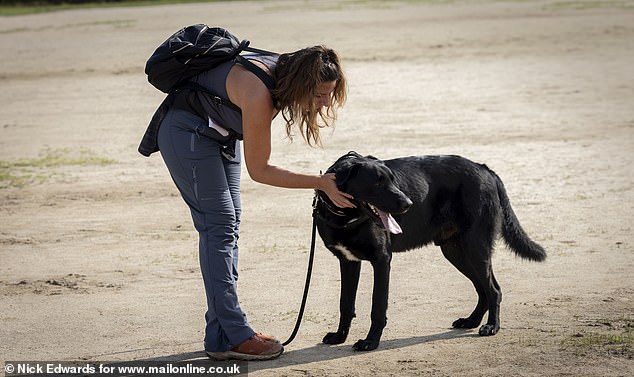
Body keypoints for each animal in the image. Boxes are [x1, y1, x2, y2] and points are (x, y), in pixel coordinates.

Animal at [316, 151, 544, 352]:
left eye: (392, 180)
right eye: (377, 182)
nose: (408, 204)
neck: (345, 217)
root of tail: (484, 168)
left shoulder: (381, 260)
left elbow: (378, 307)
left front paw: (370, 342)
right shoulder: (348, 261)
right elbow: (345, 304)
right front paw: (339, 337)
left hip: (475, 249)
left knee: (494, 290)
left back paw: (492, 326)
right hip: (456, 252)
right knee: (483, 290)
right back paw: (471, 321)